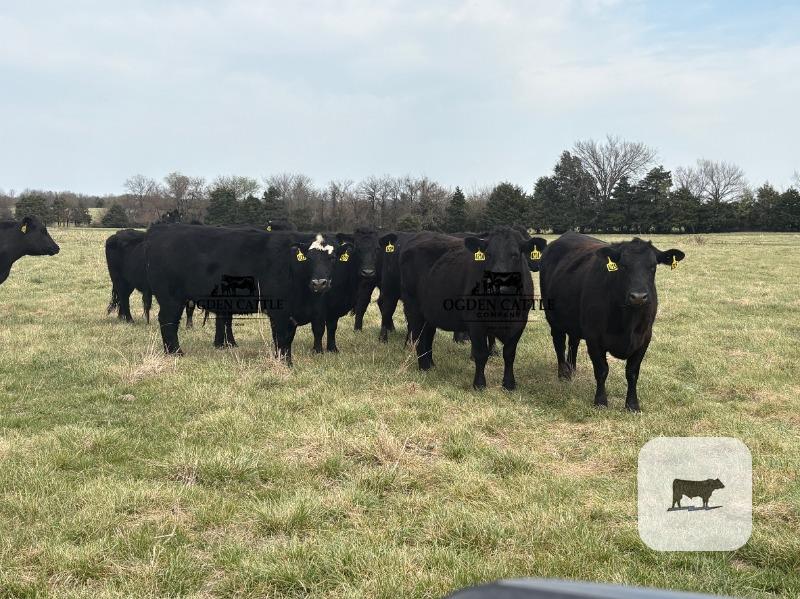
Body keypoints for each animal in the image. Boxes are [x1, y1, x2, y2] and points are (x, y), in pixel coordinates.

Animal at [400, 227, 546, 390]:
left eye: (515, 254)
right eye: (488, 254)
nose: (497, 284)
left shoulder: (519, 323)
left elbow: (509, 354)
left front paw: (509, 384)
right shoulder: (476, 323)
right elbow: (481, 354)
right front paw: (479, 384)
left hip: (430, 312)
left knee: (428, 336)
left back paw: (431, 364)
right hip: (413, 308)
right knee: (417, 337)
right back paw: (423, 367)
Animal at [538, 232, 684, 411]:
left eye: (653, 266)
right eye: (623, 266)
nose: (638, 297)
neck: (627, 321)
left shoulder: (644, 338)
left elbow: (632, 372)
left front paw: (632, 405)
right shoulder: (594, 337)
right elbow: (602, 370)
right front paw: (601, 401)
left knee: (573, 342)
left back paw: (572, 369)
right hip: (553, 317)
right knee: (559, 343)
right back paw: (564, 374)